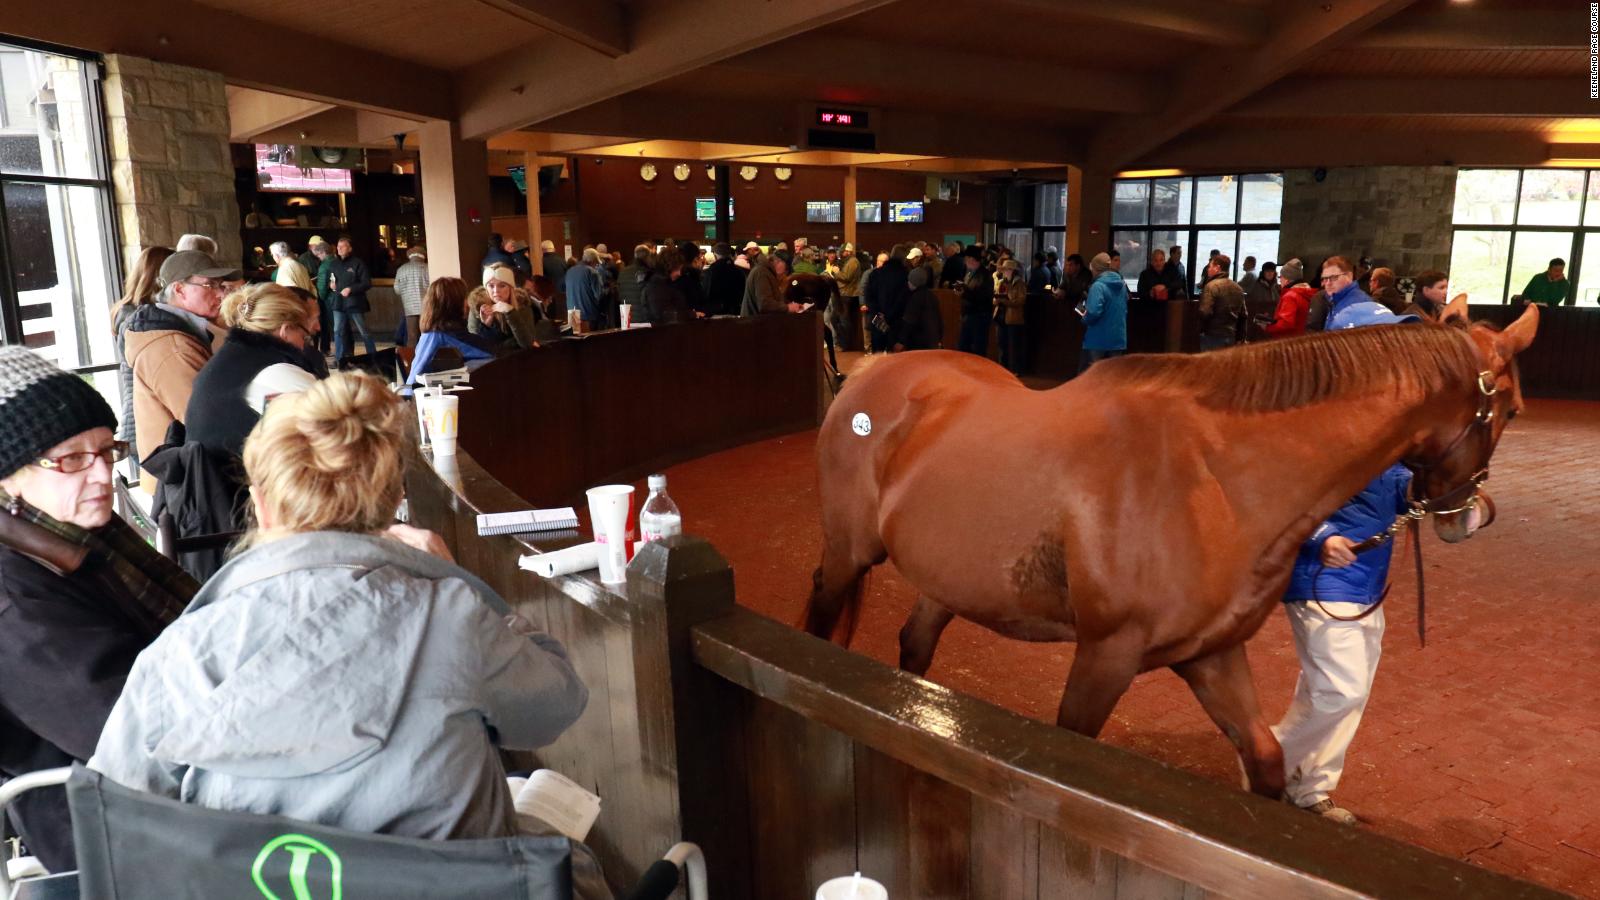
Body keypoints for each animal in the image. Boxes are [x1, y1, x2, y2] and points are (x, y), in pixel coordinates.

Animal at [800, 299, 1536, 791]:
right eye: (1512, 410)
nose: (1467, 515)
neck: (1214, 478)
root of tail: (872, 372)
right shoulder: (1105, 655)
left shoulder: (1212, 653)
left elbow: (1267, 759)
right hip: (846, 554)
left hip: (949, 576)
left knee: (915, 643)